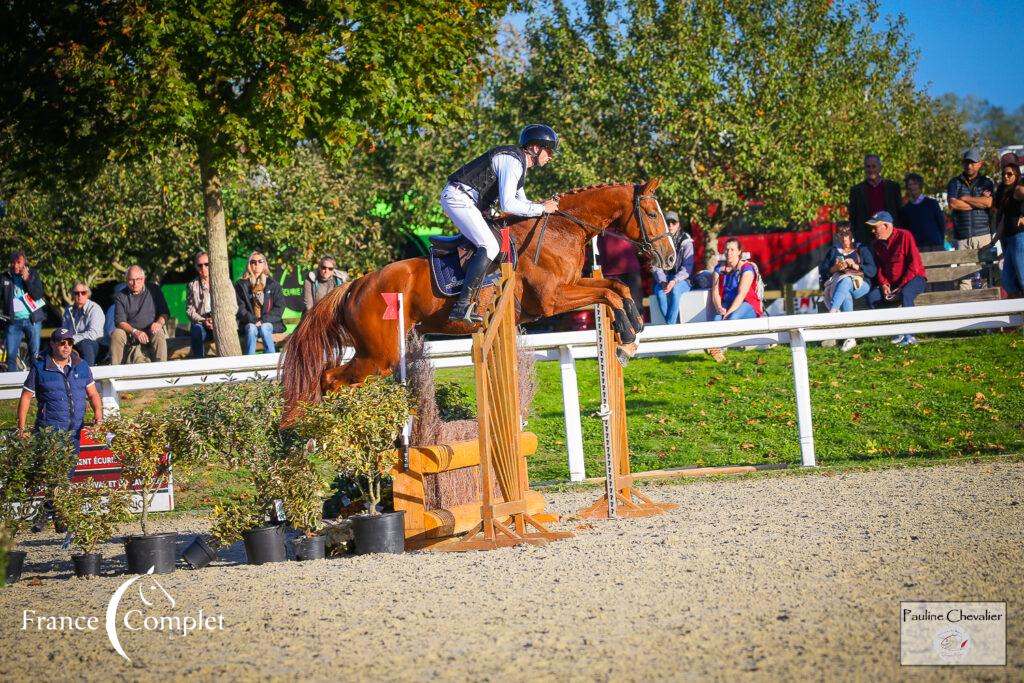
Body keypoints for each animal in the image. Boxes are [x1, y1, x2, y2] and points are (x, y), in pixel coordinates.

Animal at [284, 176, 675, 421]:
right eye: (651, 214)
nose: (670, 258)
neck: (561, 229)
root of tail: (355, 285)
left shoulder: (571, 287)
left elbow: (618, 289)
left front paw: (630, 336)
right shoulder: (552, 299)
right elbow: (610, 292)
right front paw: (627, 339)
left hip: (377, 355)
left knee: (334, 380)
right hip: (378, 355)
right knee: (331, 379)